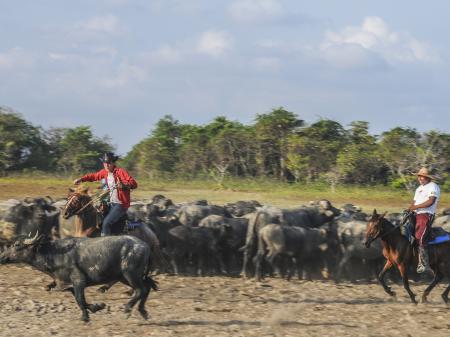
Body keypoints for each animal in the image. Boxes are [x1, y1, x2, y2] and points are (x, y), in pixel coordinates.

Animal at [0, 232, 158, 322]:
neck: (56, 253)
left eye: (17, 244)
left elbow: (80, 300)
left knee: (140, 290)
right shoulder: (67, 285)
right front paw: (97, 307)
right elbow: (80, 300)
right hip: (126, 277)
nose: (2, 257)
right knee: (147, 288)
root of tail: (145, 246)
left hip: (130, 274)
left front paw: (85, 317)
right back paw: (143, 312)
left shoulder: (79, 281)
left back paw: (127, 309)